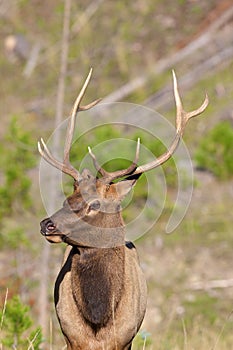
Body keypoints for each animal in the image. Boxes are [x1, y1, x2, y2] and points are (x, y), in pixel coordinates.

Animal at [38, 69, 208, 350]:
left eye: (95, 204)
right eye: (68, 196)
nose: (46, 224)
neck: (99, 319)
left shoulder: (125, 337)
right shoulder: (70, 337)